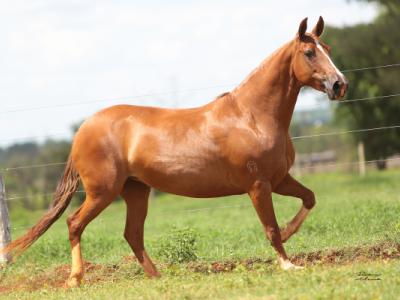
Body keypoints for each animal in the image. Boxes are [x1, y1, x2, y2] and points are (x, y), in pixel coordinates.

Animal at [1, 17, 346, 288]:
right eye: (309, 53)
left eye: (328, 50)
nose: (338, 85)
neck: (252, 116)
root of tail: (82, 131)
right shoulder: (259, 185)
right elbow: (270, 228)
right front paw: (288, 264)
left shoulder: (280, 179)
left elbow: (309, 198)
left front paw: (289, 234)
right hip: (102, 191)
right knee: (75, 224)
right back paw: (75, 279)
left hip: (136, 192)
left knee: (132, 234)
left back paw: (156, 277)